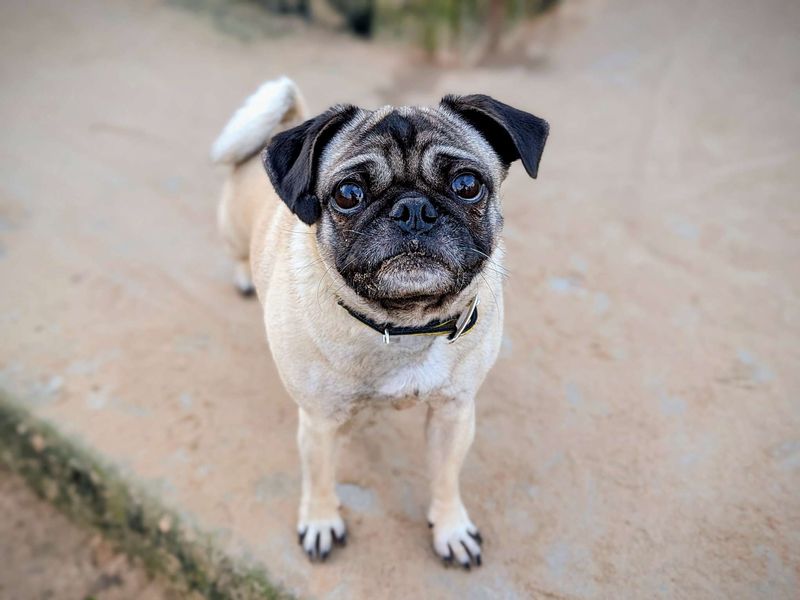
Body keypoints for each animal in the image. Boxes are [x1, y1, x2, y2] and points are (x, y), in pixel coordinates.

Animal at [214, 77, 552, 568]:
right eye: (348, 195)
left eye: (467, 185)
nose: (413, 210)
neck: (403, 324)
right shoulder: (319, 421)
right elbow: (320, 477)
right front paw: (320, 521)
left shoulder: (454, 414)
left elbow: (446, 478)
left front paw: (451, 528)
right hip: (232, 230)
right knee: (237, 252)